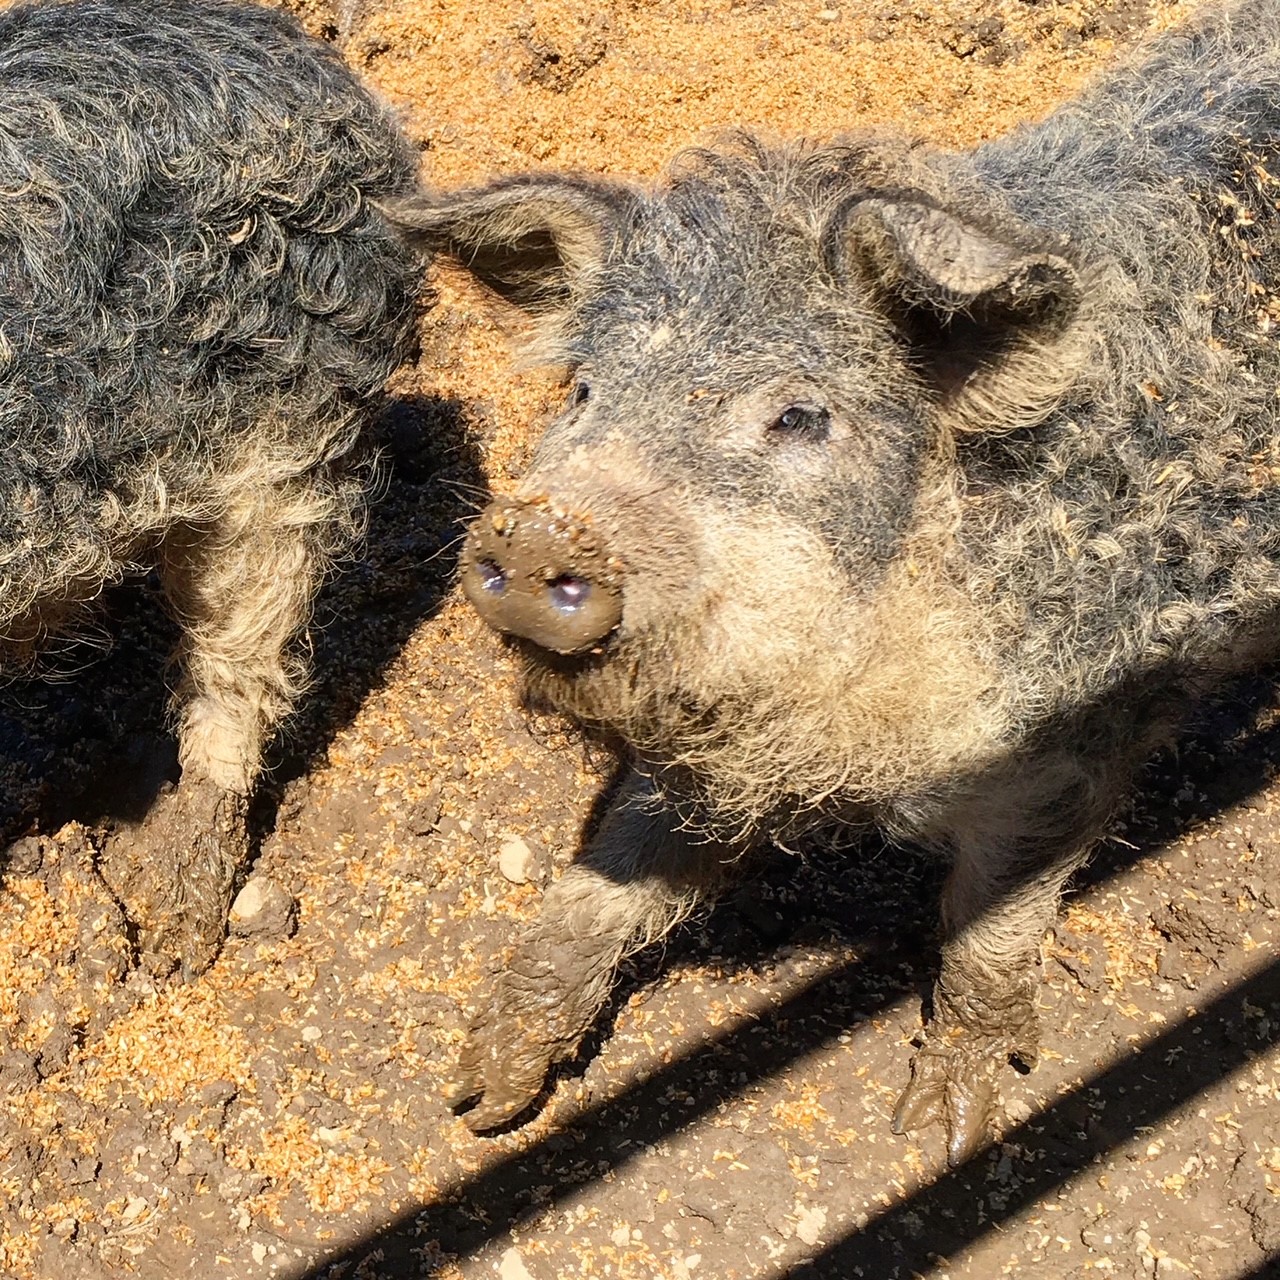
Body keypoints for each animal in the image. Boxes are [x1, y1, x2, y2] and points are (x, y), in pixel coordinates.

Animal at [388, 0, 1280, 1162]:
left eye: (799, 416)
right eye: (583, 389)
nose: (544, 528)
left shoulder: (1078, 728)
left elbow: (995, 920)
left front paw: (944, 1131)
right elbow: (612, 865)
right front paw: (480, 1094)